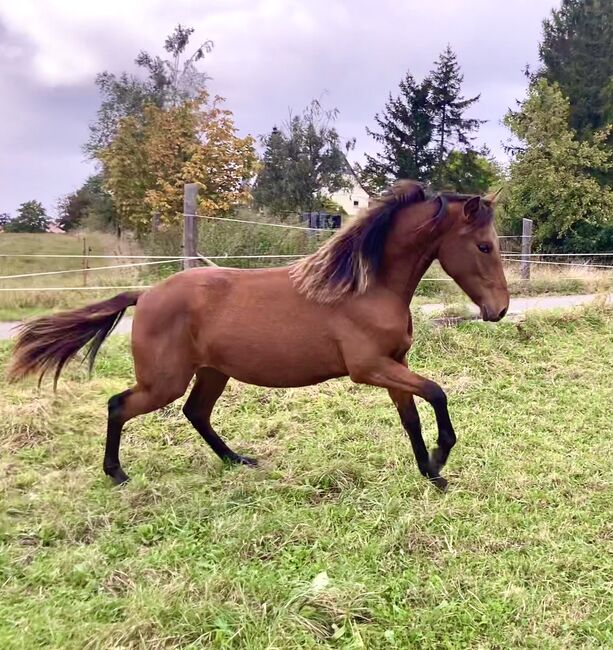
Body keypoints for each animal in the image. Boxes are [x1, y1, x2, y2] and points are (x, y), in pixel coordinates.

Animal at [8, 180, 506, 488]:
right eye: (484, 245)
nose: (498, 309)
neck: (365, 286)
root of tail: (144, 295)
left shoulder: (394, 365)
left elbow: (412, 416)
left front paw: (431, 472)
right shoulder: (370, 368)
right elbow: (437, 393)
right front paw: (441, 457)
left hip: (212, 372)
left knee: (195, 413)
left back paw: (239, 461)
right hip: (164, 382)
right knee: (119, 406)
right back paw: (117, 474)